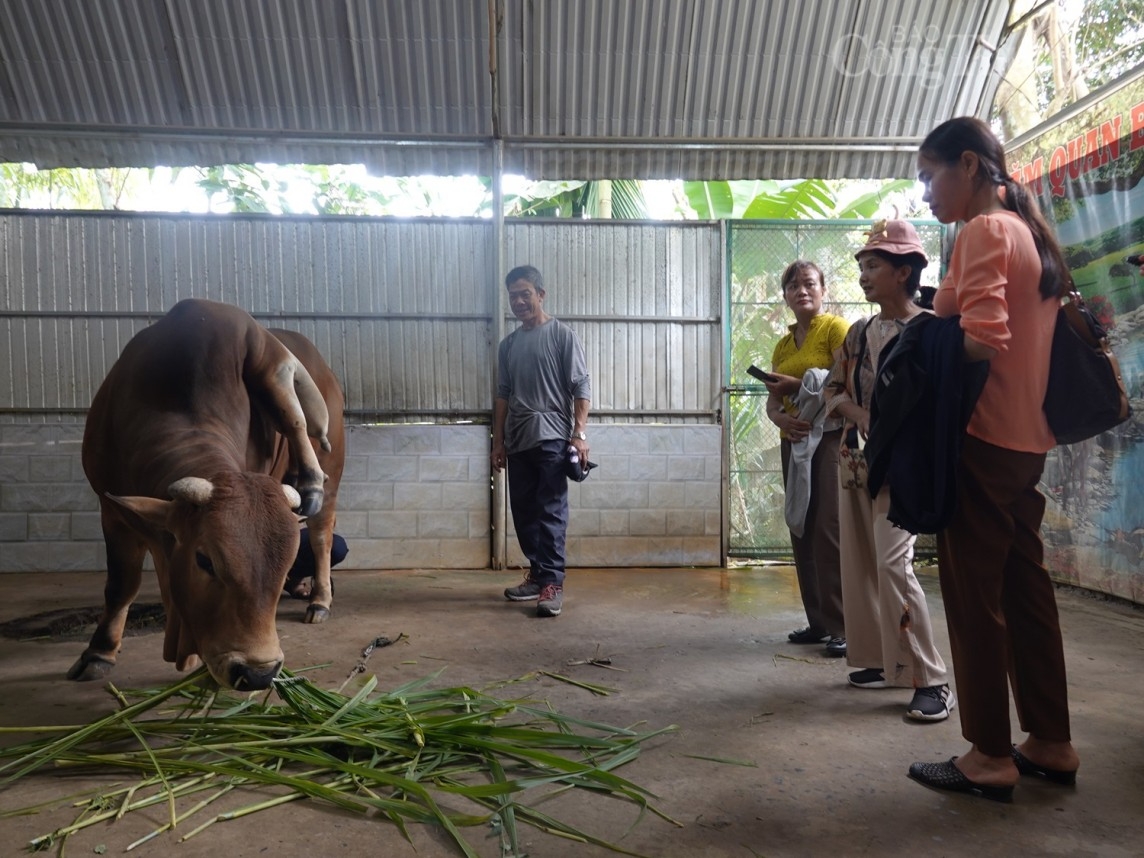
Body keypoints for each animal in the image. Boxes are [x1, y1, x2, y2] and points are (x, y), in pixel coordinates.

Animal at [74, 299, 343, 690]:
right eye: (204, 560)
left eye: (284, 565)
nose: (258, 672)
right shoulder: (112, 511)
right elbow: (122, 584)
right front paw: (98, 653)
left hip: (310, 428)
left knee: (320, 524)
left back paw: (319, 592)